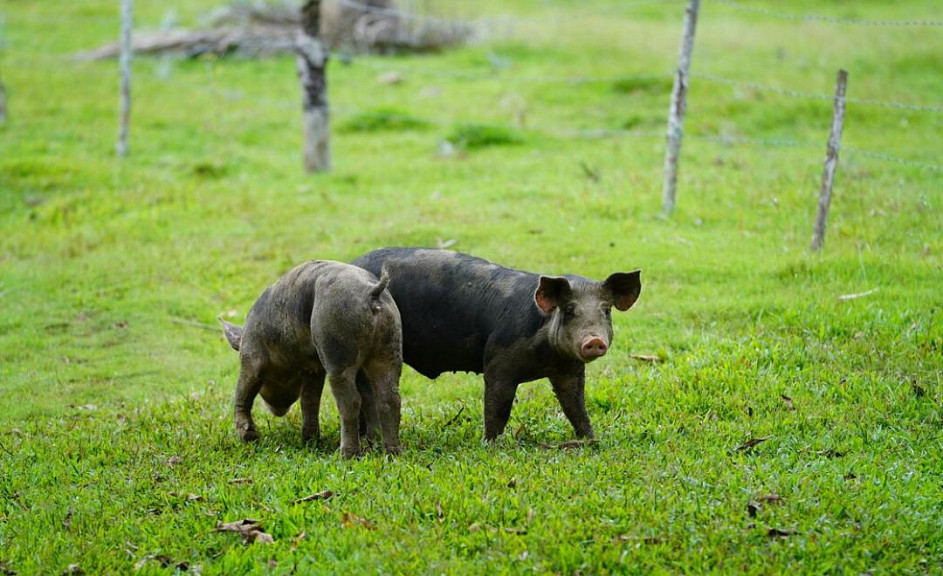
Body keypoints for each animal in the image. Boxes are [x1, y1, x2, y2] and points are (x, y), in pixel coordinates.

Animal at [354, 249, 640, 440]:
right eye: (569, 310)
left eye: (606, 310)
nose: (594, 340)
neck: (547, 357)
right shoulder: (498, 360)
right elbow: (497, 404)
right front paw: (491, 443)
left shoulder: (570, 370)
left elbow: (575, 405)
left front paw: (590, 439)